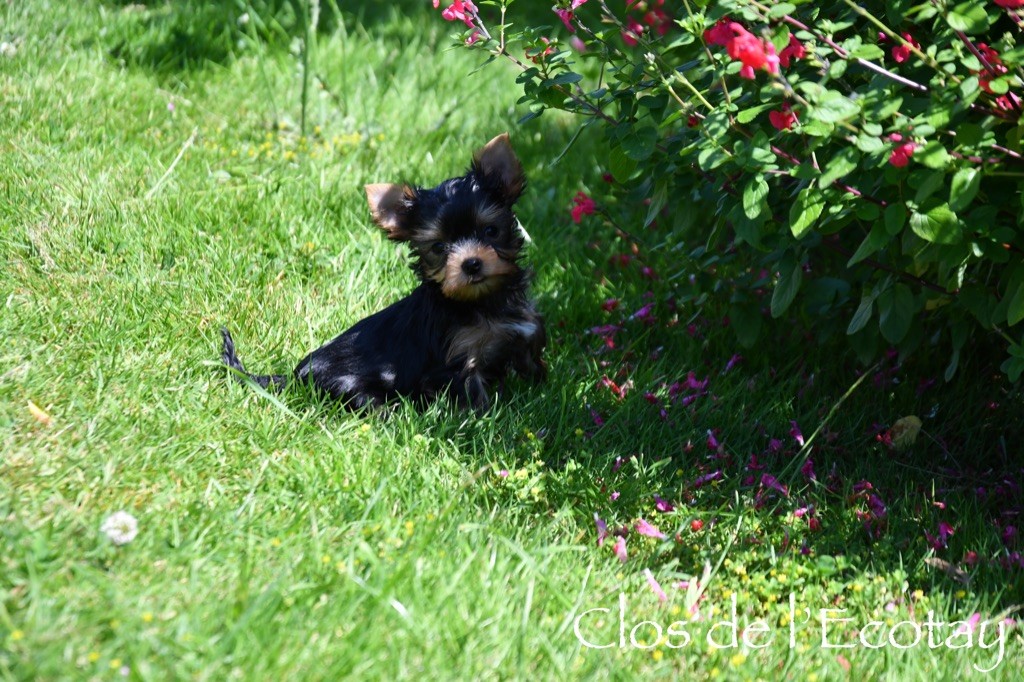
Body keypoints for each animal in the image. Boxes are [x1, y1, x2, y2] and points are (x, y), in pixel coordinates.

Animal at [221, 133, 546, 411]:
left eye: (491, 231)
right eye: (439, 247)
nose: (471, 263)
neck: (482, 300)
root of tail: (294, 378)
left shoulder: (523, 336)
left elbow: (532, 368)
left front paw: (541, 394)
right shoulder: (458, 363)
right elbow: (474, 398)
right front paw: (487, 420)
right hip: (350, 385)